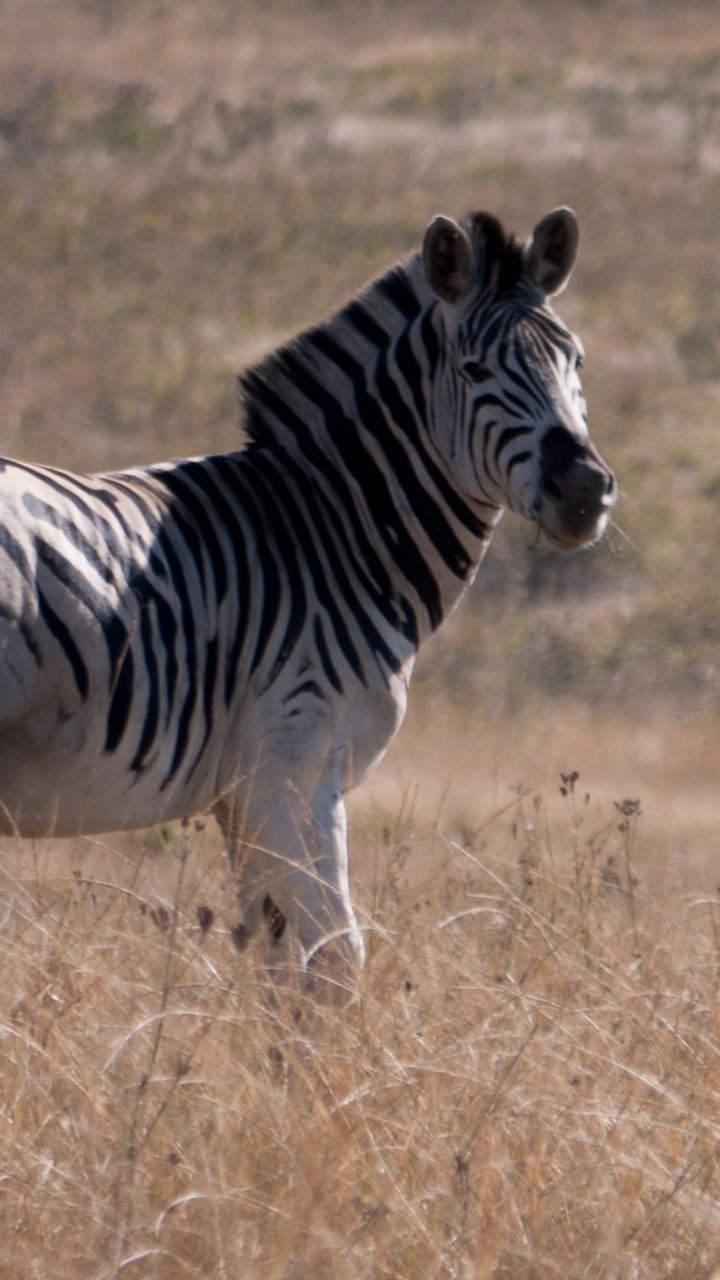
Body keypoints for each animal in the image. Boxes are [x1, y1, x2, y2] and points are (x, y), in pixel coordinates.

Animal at [0, 205, 615, 984]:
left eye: (577, 362)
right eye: (475, 370)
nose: (585, 490)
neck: (332, 530)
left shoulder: (243, 793)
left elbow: (276, 956)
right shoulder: (295, 762)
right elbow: (333, 959)